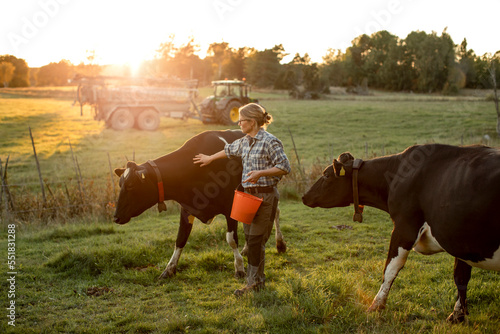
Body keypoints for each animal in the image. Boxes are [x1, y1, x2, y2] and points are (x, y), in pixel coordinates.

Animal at [113, 130, 286, 280]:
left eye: (131, 185)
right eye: (120, 184)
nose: (115, 217)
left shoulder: (231, 206)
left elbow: (231, 239)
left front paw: (239, 268)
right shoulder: (187, 208)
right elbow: (180, 239)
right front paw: (169, 269)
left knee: (276, 212)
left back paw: (280, 244)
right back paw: (247, 249)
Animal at [302, 144, 498, 324]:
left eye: (326, 175)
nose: (304, 196)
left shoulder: (405, 228)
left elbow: (390, 268)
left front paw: (376, 305)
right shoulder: (459, 239)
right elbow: (461, 277)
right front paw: (457, 315)